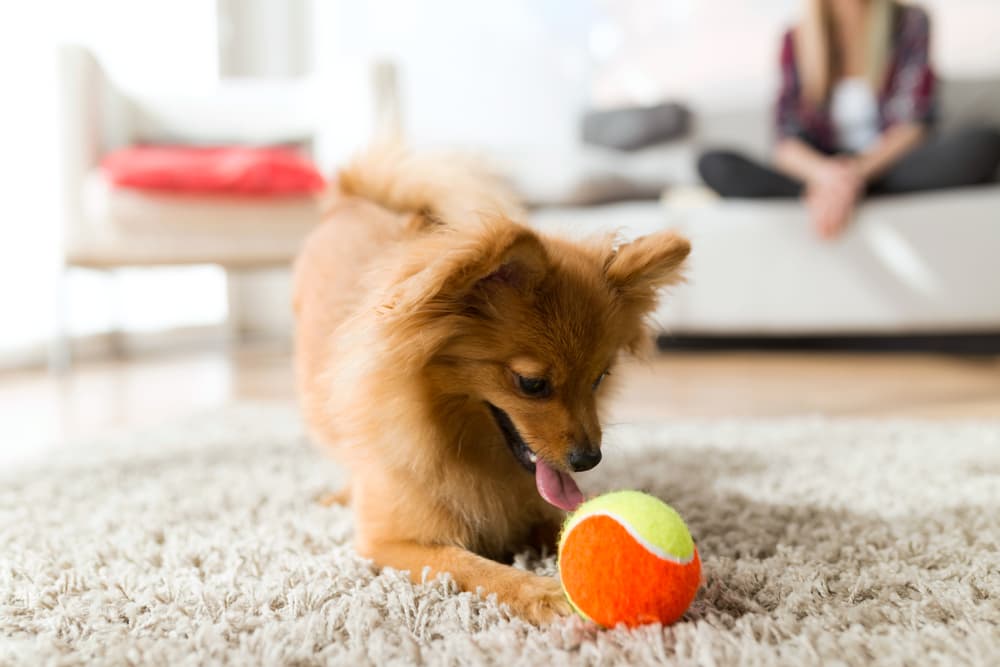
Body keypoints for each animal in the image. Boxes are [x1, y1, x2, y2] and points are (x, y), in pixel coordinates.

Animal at [292, 147, 692, 628]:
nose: (589, 459)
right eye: (531, 384)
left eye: (599, 379)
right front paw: (545, 594)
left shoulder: (536, 506)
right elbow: (473, 567)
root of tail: (353, 197)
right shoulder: (392, 543)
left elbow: (567, 521)